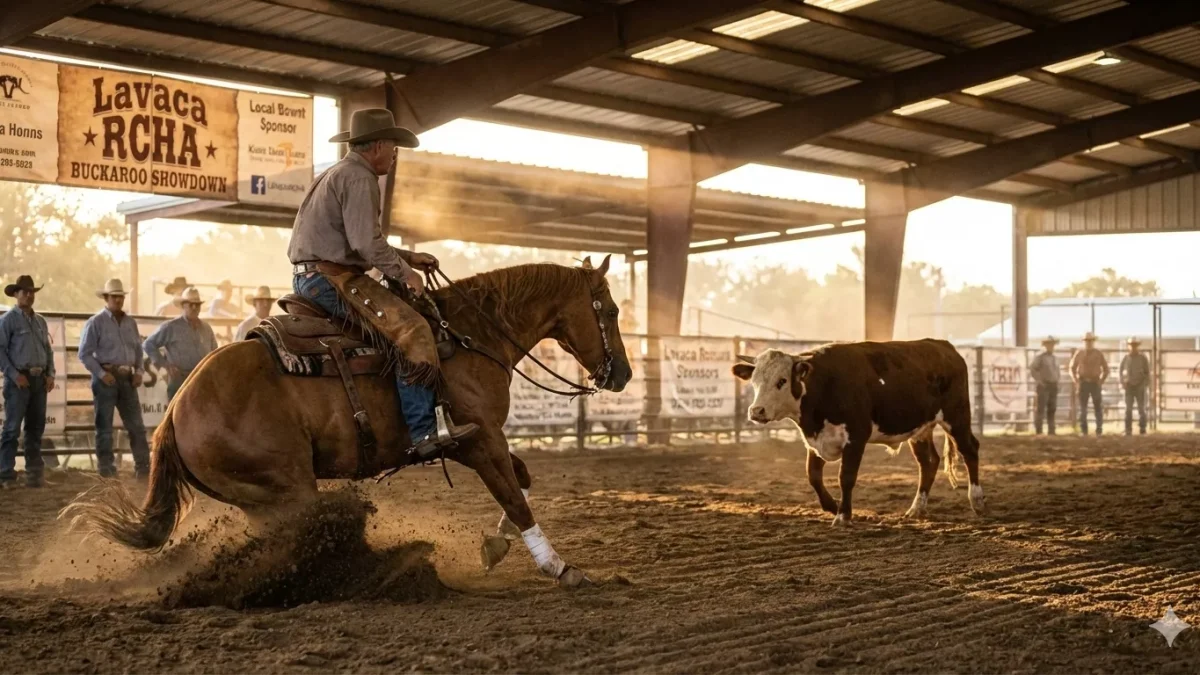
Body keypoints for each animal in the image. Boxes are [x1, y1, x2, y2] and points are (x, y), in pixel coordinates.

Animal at [63, 257, 633, 587]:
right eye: (609, 310)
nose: (623, 374)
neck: (469, 336)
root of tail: (176, 412)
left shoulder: (476, 442)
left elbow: (522, 479)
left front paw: (496, 547)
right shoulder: (479, 439)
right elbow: (515, 496)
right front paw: (561, 567)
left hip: (260, 499)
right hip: (286, 486)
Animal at [732, 340, 984, 525]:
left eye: (782, 380)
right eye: (754, 382)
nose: (756, 411)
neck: (822, 385)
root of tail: (945, 347)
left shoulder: (855, 438)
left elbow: (846, 477)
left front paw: (843, 516)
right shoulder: (815, 438)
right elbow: (813, 476)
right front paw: (833, 506)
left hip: (957, 417)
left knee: (970, 450)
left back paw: (977, 501)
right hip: (921, 429)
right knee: (929, 462)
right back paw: (916, 509)